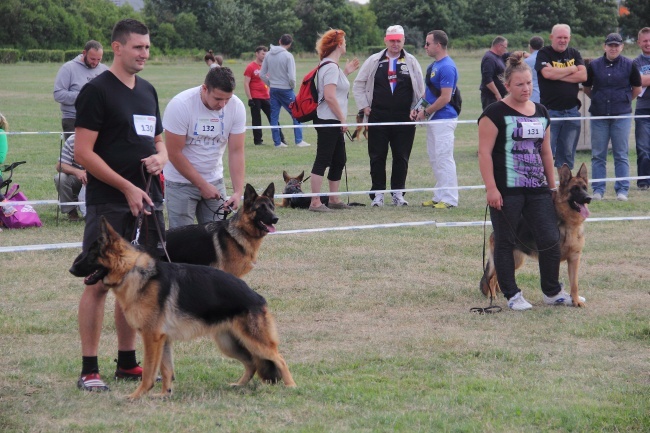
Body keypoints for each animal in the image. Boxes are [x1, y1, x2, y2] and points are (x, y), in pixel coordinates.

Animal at [69, 218, 294, 396]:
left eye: (90, 253)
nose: (71, 269)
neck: (131, 270)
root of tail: (256, 296)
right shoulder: (163, 340)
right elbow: (166, 370)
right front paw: (164, 395)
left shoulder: (152, 338)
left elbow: (150, 372)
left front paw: (136, 396)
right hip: (229, 343)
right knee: (252, 362)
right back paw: (239, 385)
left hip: (254, 341)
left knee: (279, 358)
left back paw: (291, 387)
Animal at [478, 162, 588, 308]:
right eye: (575, 189)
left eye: (585, 188)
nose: (588, 198)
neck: (569, 223)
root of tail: (494, 232)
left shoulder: (574, 259)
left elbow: (574, 284)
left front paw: (575, 300)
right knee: (492, 277)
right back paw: (493, 296)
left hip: (516, 261)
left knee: (497, 277)